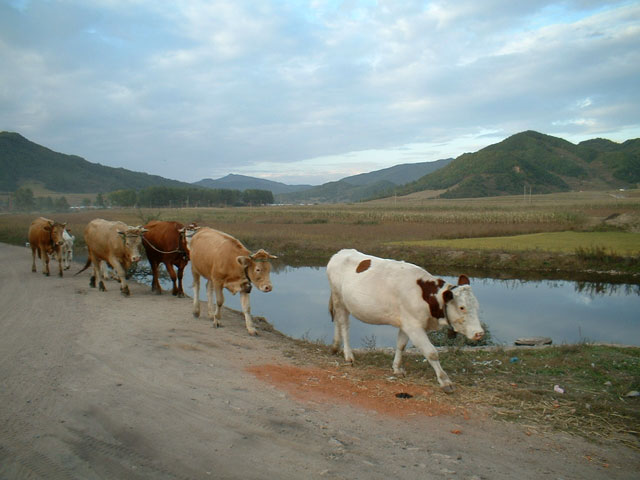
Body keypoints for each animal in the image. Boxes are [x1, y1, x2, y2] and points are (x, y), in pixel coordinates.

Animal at [328, 249, 482, 392]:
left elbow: (401, 345)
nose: (479, 333)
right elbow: (431, 353)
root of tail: (341, 252)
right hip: (339, 299)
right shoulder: (414, 327)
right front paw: (445, 381)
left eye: (477, 305)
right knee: (344, 325)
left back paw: (335, 347)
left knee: (337, 321)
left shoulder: (406, 323)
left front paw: (397, 368)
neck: (424, 295)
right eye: (462, 307)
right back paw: (348, 355)